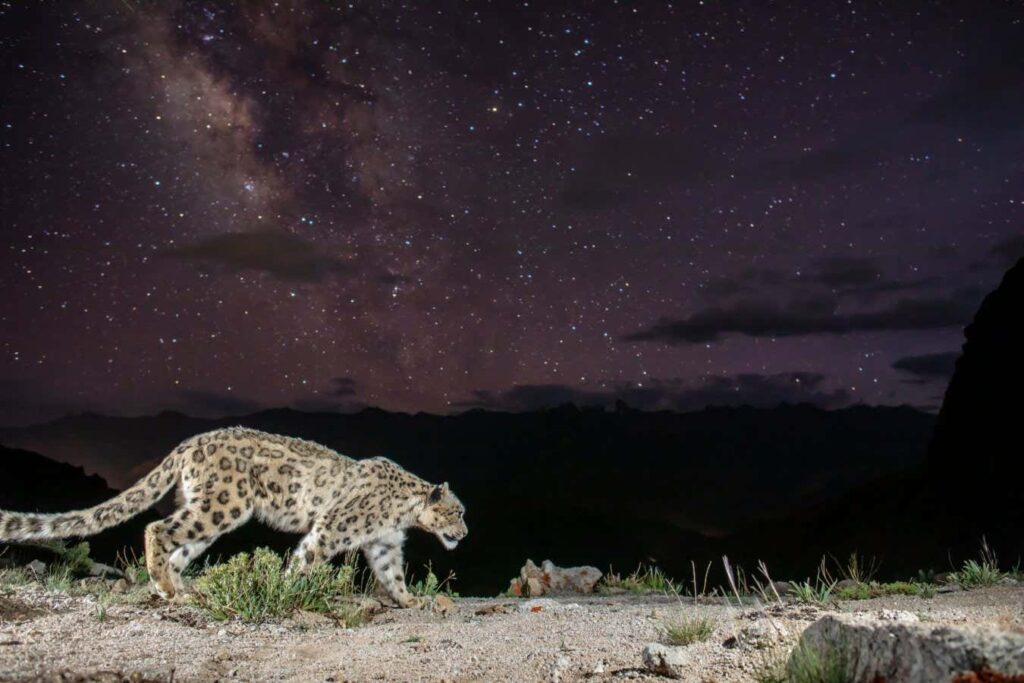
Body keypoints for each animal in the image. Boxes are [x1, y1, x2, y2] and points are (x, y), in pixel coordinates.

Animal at [0, 427, 467, 607]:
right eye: (458, 511)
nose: (465, 532)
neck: (401, 513)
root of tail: (188, 443)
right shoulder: (332, 528)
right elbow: (307, 559)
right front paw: (285, 590)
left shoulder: (384, 542)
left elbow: (392, 573)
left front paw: (410, 600)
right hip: (223, 505)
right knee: (157, 528)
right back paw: (164, 586)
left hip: (208, 514)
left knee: (180, 547)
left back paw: (181, 589)